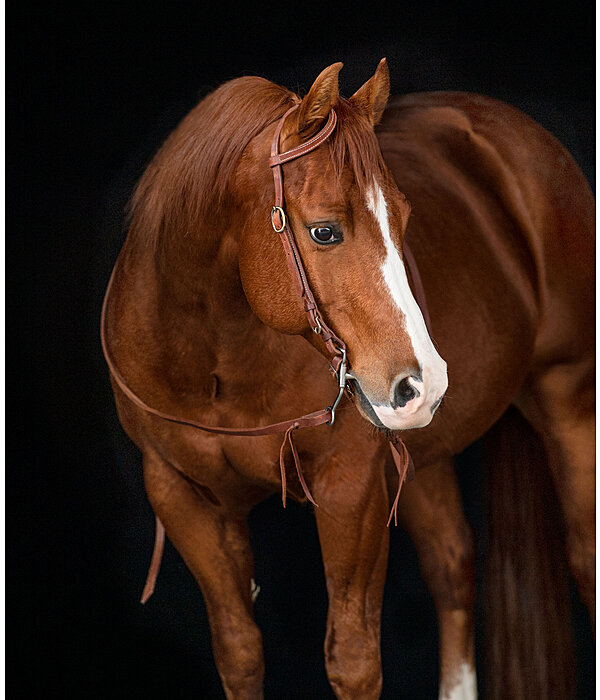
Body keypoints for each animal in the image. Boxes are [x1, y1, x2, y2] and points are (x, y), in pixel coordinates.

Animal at [101, 61, 592, 700]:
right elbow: (239, 652)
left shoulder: (350, 488)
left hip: (569, 402)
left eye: (405, 219)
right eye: (325, 232)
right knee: (452, 567)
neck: (214, 359)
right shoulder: (183, 495)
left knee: (584, 559)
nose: (423, 384)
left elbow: (354, 660)